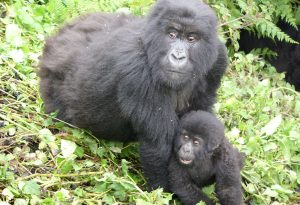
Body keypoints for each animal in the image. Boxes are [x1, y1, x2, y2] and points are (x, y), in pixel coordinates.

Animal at [38, 0, 227, 190]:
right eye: (172, 34)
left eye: (191, 38)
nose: (178, 56)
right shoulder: (138, 68)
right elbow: (158, 148)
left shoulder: (218, 59)